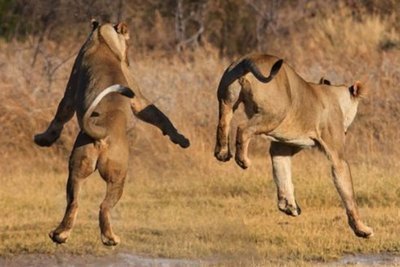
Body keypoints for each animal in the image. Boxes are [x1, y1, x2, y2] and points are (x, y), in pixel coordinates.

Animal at [33, 21, 190, 247]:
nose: (129, 57)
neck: (101, 38)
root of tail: (102, 131)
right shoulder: (135, 95)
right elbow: (160, 116)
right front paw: (182, 139)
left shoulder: (72, 90)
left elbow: (59, 116)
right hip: (119, 174)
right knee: (104, 206)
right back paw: (110, 238)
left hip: (77, 168)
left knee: (74, 202)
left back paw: (60, 235)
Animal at [214, 52, 374, 239]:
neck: (334, 95)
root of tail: (250, 58)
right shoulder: (337, 156)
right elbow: (348, 193)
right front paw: (362, 229)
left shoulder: (282, 147)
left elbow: (282, 173)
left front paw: (288, 205)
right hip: (275, 112)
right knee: (242, 128)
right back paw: (243, 160)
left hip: (226, 100)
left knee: (223, 123)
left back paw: (222, 153)